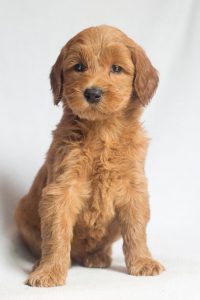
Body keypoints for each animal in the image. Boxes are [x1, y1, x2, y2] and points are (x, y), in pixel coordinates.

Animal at [14, 24, 165, 288]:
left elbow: (136, 229)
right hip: (24, 218)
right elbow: (56, 234)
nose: (92, 93)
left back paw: (97, 256)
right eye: (79, 67)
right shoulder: (61, 188)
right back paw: (40, 263)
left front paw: (143, 262)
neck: (102, 130)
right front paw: (50, 271)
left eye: (116, 68)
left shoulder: (134, 187)